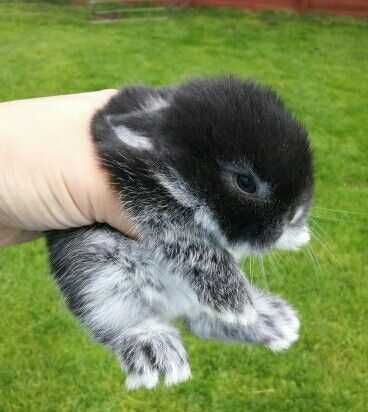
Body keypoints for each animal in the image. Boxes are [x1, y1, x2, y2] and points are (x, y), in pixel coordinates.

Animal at [46, 76, 314, 390]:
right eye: (245, 182)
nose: (295, 213)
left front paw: (298, 236)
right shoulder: (145, 197)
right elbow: (185, 238)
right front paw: (234, 301)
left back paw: (272, 321)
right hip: (99, 275)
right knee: (120, 320)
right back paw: (155, 349)